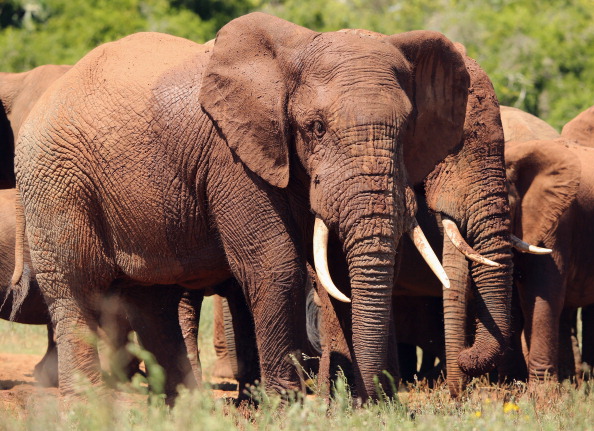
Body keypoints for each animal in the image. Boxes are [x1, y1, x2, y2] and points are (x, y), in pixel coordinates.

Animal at [0, 11, 588, 406]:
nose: (456, 380)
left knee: (151, 298)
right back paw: (87, 405)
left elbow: (341, 269)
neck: (296, 50)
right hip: (54, 181)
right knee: (78, 290)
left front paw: (362, 404)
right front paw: (290, 404)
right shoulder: (232, 157)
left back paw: (186, 407)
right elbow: (276, 265)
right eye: (314, 128)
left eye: (406, 131)